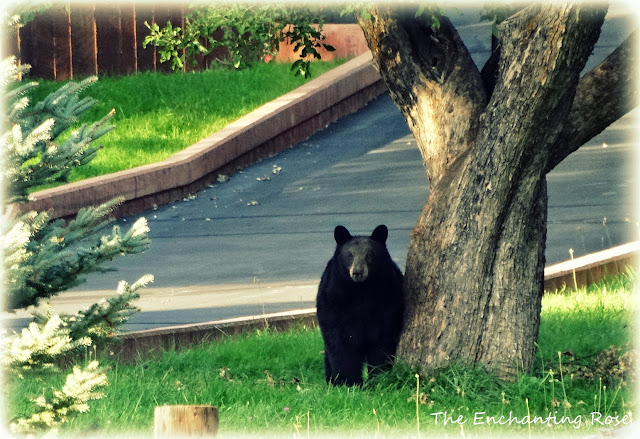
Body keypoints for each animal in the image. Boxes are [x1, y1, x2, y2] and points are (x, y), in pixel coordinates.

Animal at [316, 224, 404, 386]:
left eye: (369, 255)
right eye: (350, 255)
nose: (357, 272)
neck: (361, 290)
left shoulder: (389, 299)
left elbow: (383, 340)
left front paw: (379, 378)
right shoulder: (333, 298)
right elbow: (340, 343)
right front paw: (348, 382)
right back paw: (331, 380)